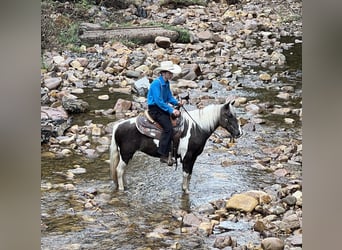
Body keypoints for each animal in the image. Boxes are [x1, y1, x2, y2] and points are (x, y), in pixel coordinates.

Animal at [108, 100, 242, 193]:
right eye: (229, 115)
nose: (239, 133)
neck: (196, 128)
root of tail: (118, 126)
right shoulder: (187, 156)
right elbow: (186, 174)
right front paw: (186, 191)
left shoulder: (193, 157)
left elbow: (190, 174)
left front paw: (186, 189)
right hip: (126, 154)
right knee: (119, 170)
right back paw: (122, 189)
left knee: (122, 171)